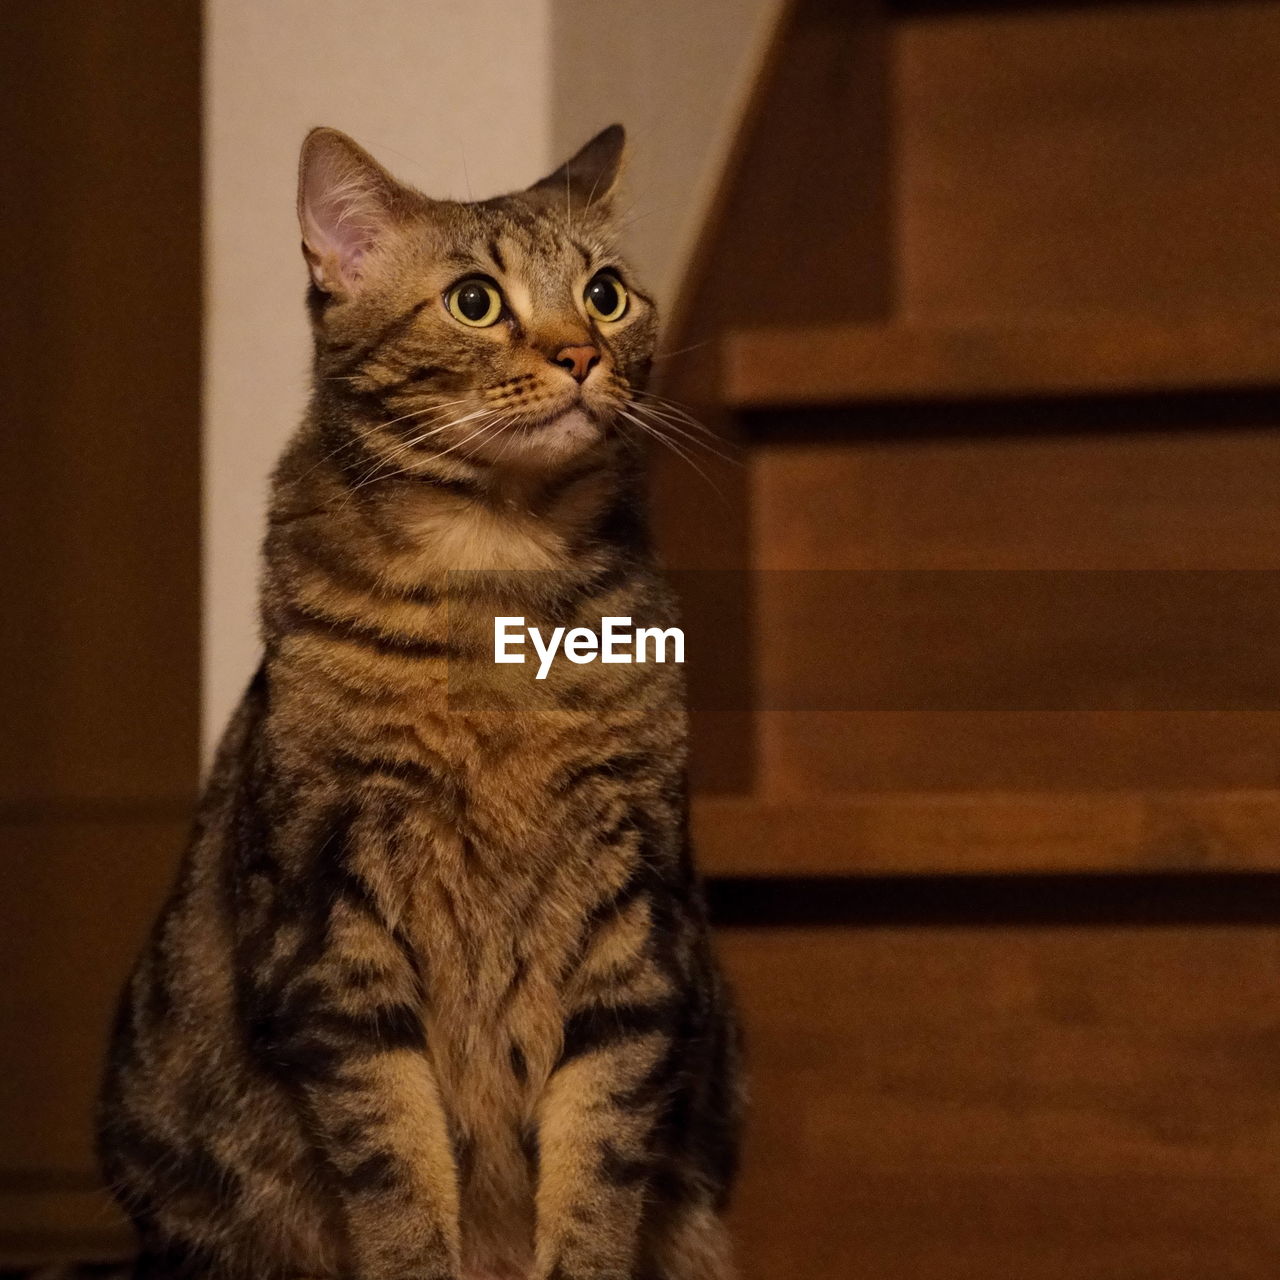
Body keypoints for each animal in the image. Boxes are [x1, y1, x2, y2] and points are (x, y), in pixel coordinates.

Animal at [97, 122, 742, 1280]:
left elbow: (596, 1162)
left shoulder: (635, 919)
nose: (580, 353)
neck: (499, 580)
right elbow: (396, 1165)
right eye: (475, 300)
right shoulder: (333, 933)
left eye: (607, 292)